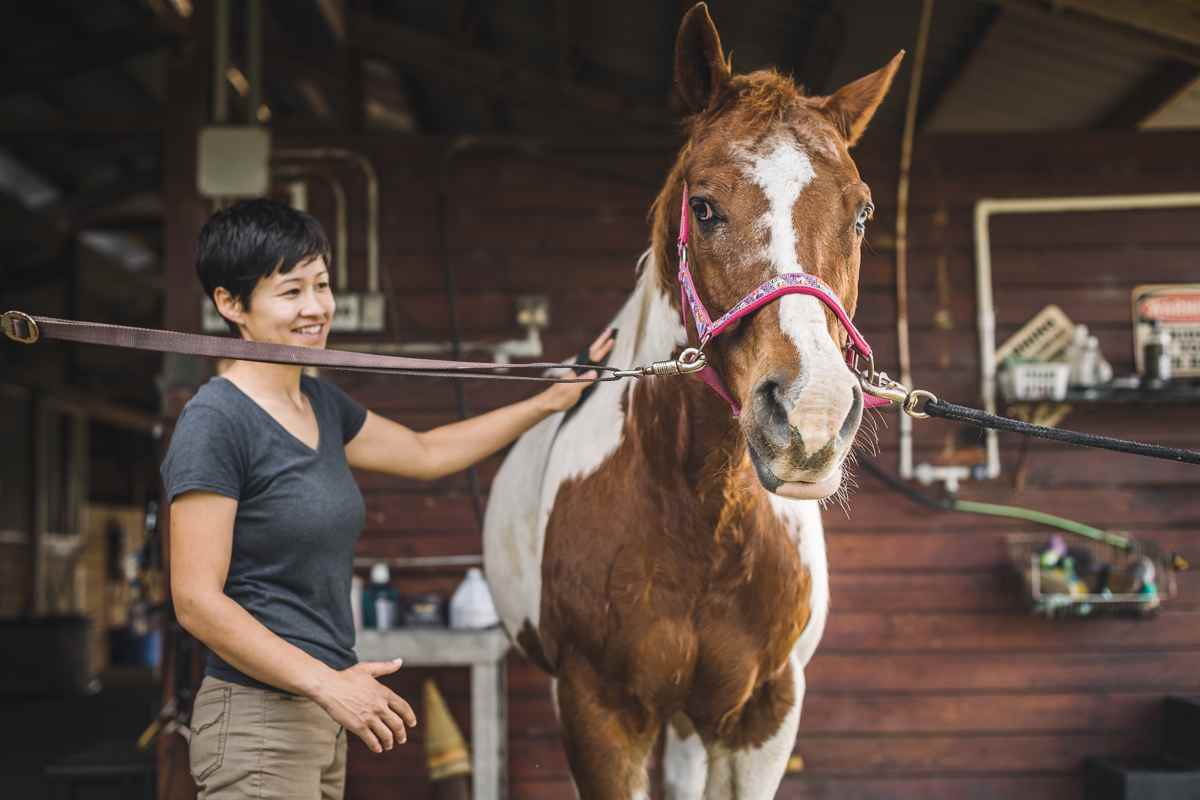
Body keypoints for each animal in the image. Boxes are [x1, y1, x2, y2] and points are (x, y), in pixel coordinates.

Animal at [480, 4, 902, 796]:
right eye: (703, 207)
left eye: (861, 215)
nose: (810, 417)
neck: (701, 518)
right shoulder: (597, 711)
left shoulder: (765, 713)